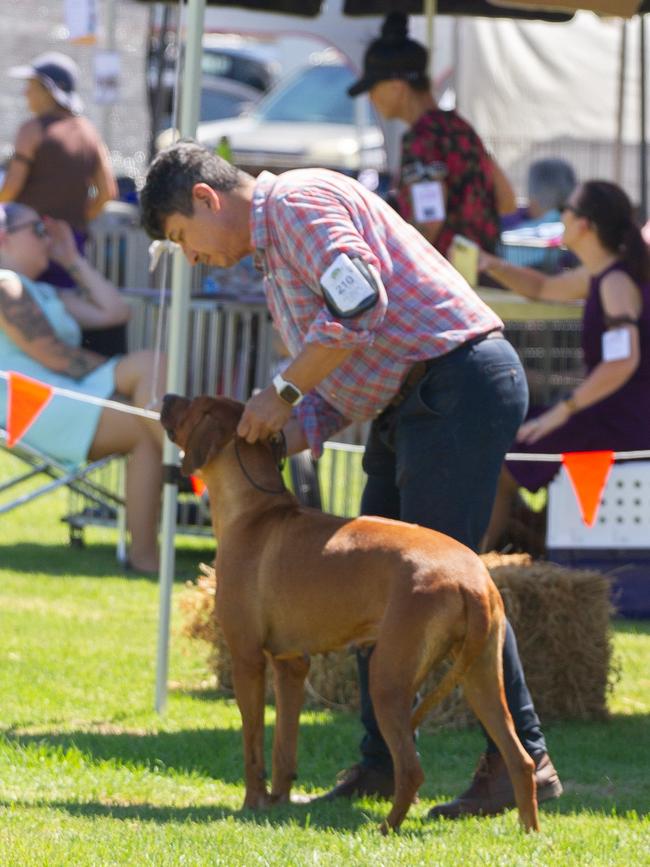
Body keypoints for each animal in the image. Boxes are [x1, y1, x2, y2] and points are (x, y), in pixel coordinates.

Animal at [162, 394, 536, 836]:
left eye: (191, 404)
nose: (166, 397)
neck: (254, 511)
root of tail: (473, 579)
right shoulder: (292, 664)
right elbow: (283, 747)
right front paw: (279, 802)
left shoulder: (247, 659)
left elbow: (252, 744)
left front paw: (252, 803)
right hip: (482, 675)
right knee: (520, 758)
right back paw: (531, 832)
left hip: (388, 679)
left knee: (412, 769)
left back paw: (387, 828)